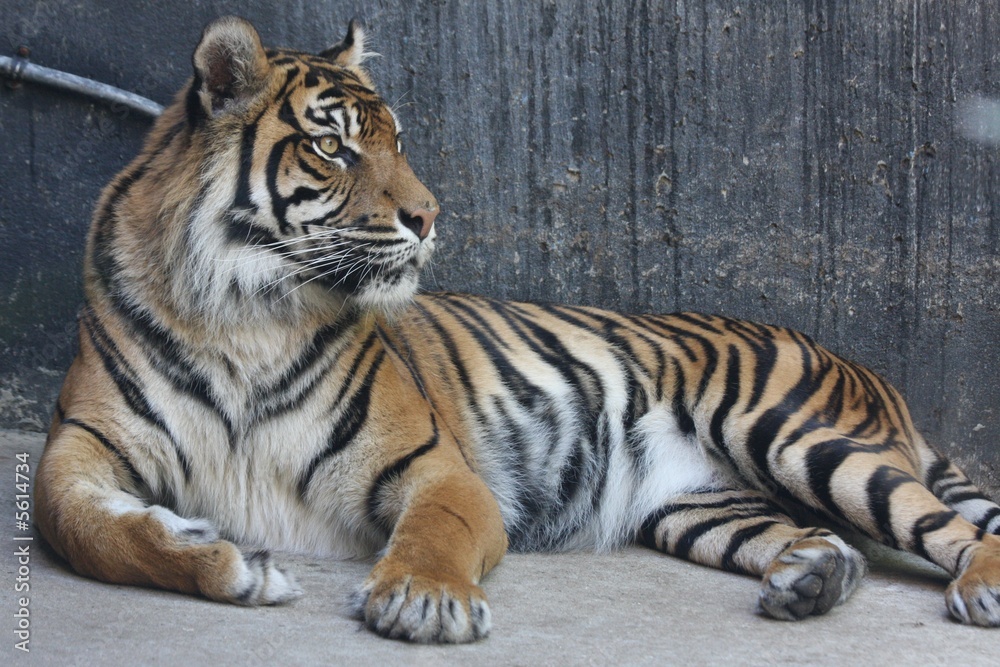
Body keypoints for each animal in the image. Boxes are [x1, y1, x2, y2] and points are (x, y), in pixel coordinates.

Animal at [34, 15, 1000, 643]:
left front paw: (424, 599)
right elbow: (92, 529)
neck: (243, 310)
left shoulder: (436, 468)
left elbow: (433, 533)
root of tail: (878, 377)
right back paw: (813, 578)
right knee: (830, 541)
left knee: (957, 531)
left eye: (395, 140)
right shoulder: (76, 453)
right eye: (334, 147)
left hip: (800, 436)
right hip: (700, 506)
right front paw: (234, 560)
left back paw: (973, 590)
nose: (429, 216)